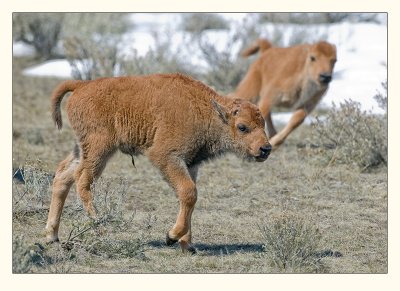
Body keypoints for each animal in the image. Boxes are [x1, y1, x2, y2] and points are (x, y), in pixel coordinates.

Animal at [46, 73, 272, 253]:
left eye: (263, 123)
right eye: (242, 127)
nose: (266, 149)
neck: (206, 110)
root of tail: (81, 85)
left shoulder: (190, 164)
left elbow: (188, 197)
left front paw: (187, 245)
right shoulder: (165, 157)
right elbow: (189, 193)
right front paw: (171, 237)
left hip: (82, 149)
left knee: (63, 176)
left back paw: (51, 235)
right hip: (99, 150)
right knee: (82, 181)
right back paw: (100, 226)